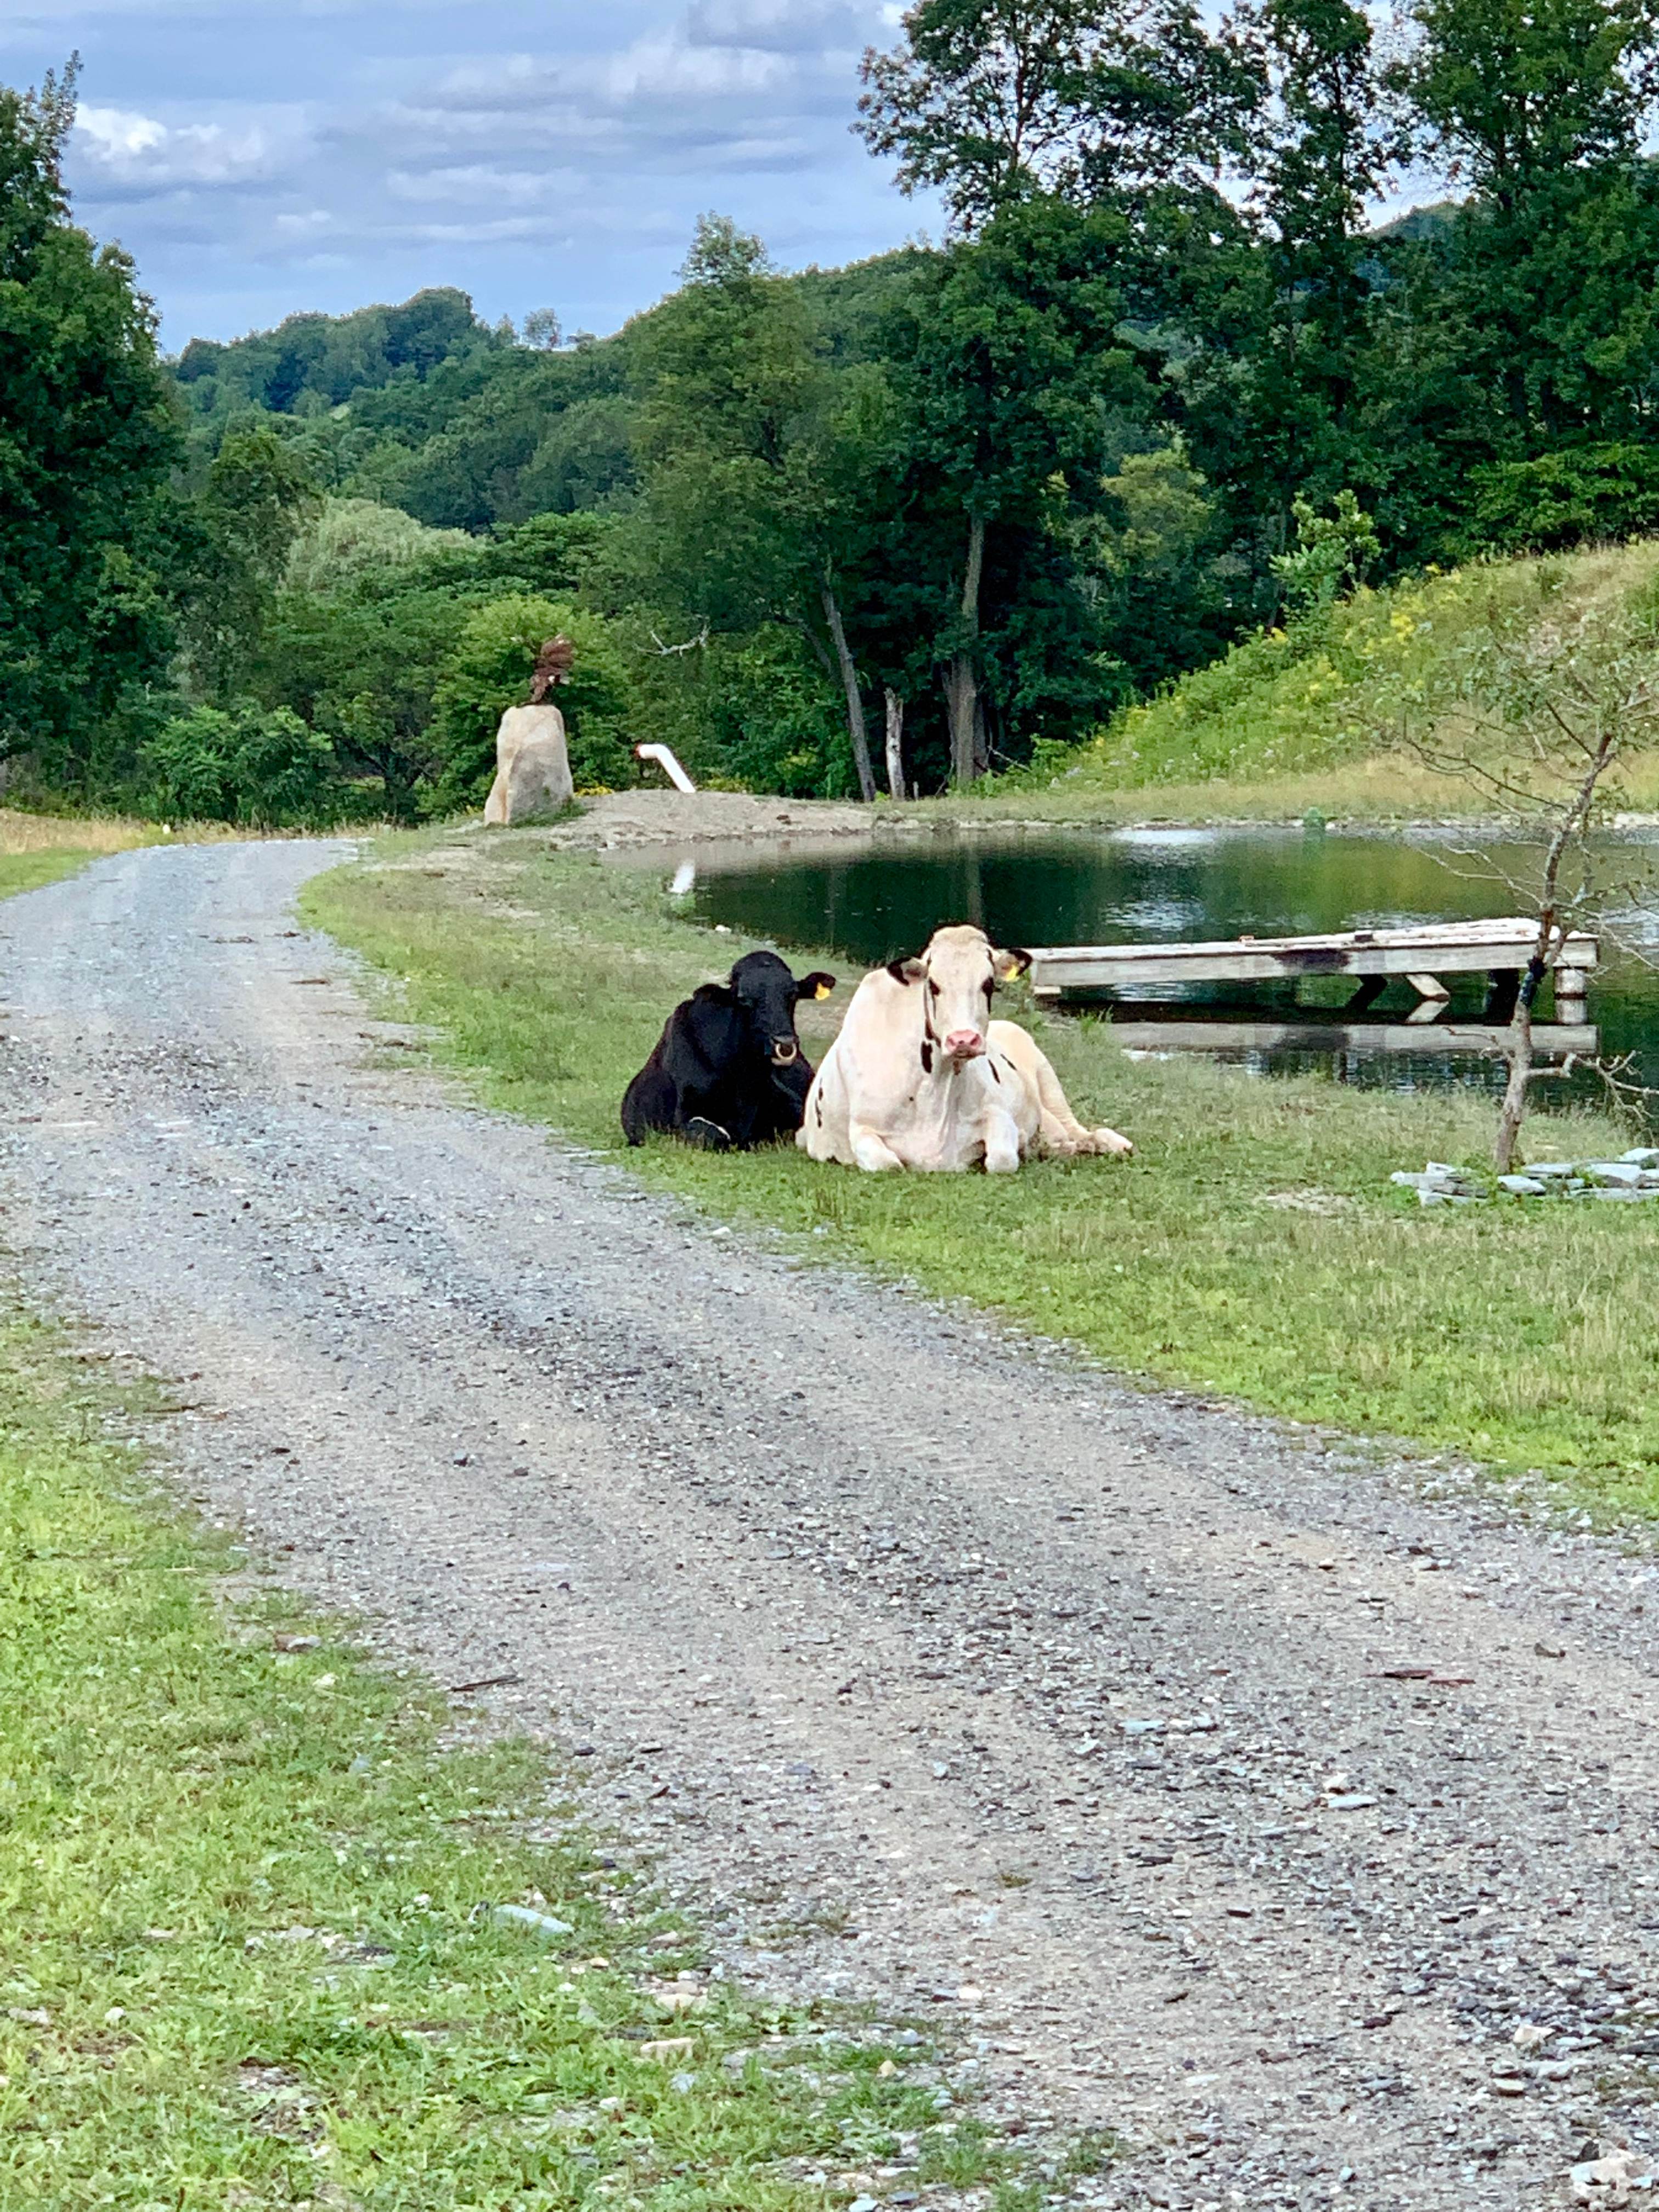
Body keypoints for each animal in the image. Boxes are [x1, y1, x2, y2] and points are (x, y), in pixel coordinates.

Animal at [798, 923, 1131, 1173]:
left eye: (988, 984)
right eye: (933, 985)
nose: (963, 1040)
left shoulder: (997, 1112)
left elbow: (1003, 1158)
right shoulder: (862, 1129)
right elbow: (889, 1164)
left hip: (1050, 1085)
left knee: (1083, 1130)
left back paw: (1109, 1144)